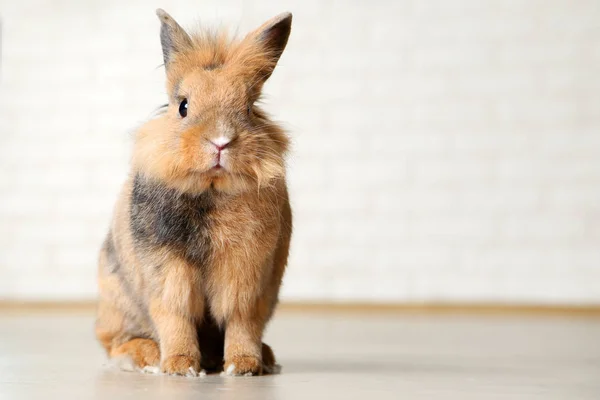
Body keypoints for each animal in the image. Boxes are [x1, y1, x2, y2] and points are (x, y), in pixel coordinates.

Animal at [95, 9, 294, 378]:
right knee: (117, 342)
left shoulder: (247, 276)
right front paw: (180, 367)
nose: (220, 141)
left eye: (249, 108)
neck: (211, 189)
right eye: (183, 106)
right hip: (117, 302)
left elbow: (242, 321)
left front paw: (243, 366)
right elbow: (176, 317)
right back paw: (147, 357)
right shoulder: (168, 274)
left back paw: (264, 357)